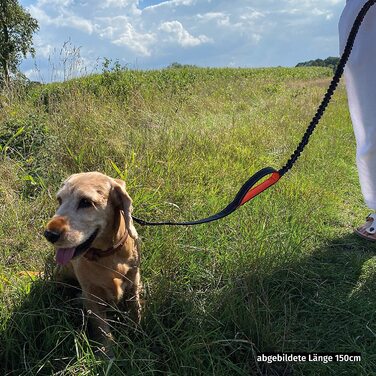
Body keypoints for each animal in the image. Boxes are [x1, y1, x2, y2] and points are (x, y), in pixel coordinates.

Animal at [44, 172, 141, 354]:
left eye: (86, 202)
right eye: (59, 200)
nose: (49, 234)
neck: (107, 255)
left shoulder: (134, 281)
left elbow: (135, 310)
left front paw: (137, 333)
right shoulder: (92, 296)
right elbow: (104, 331)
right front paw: (108, 356)